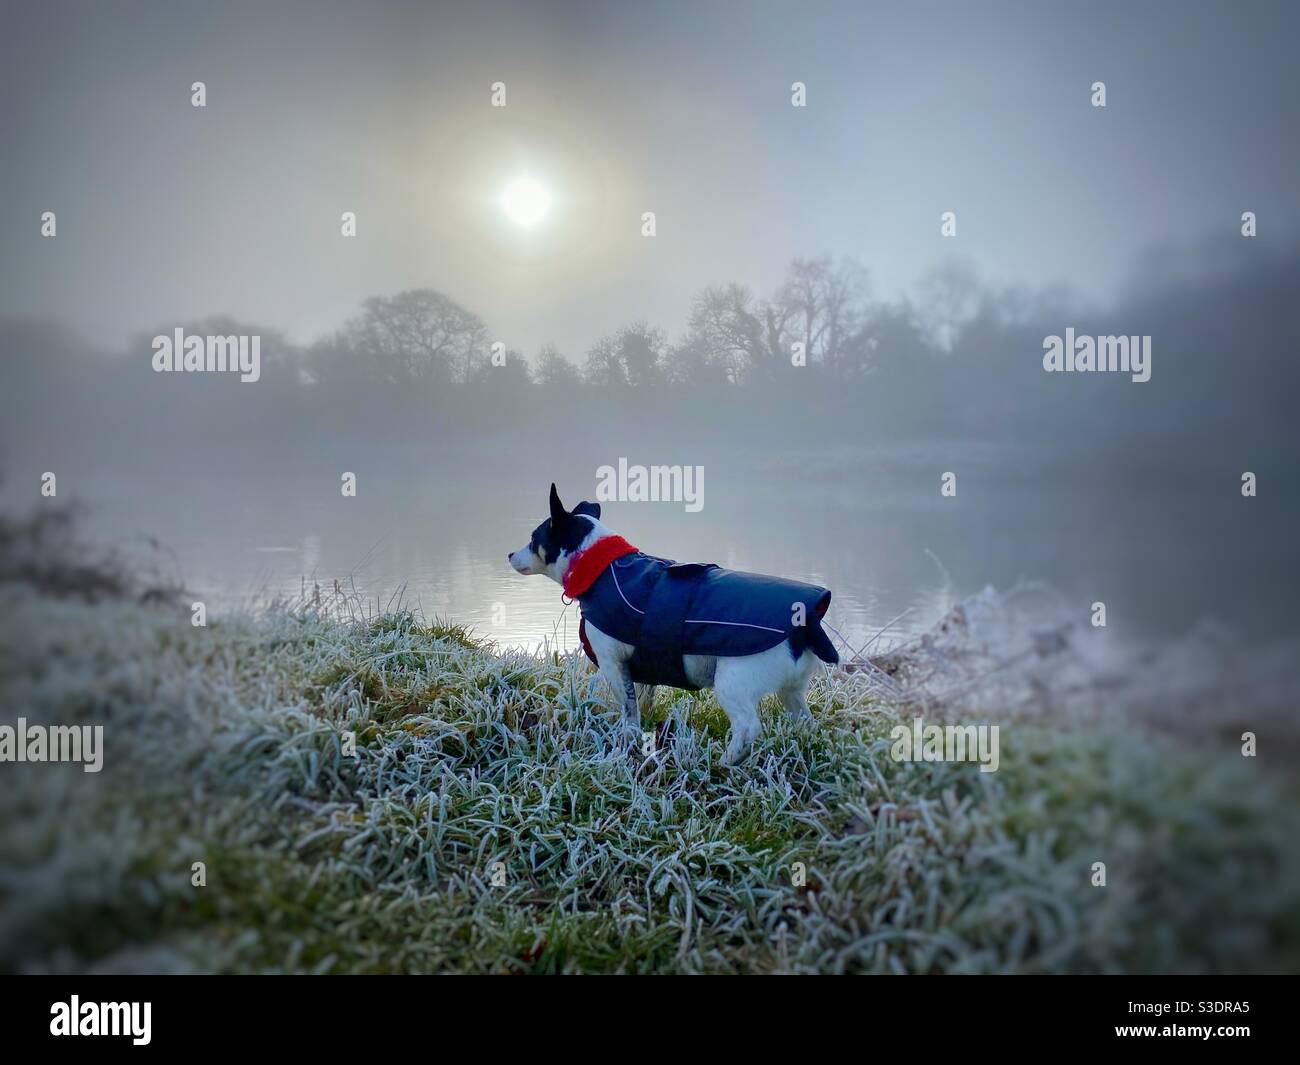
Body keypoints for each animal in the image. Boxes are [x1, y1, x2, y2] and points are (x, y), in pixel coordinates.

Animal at [506, 486, 842, 764]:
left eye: (534, 539)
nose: (509, 553)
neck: (599, 567)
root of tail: (806, 621)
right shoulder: (642, 668)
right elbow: (643, 701)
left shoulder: (613, 663)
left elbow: (628, 713)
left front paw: (625, 745)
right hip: (791, 692)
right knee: (805, 721)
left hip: (733, 682)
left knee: (748, 727)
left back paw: (724, 763)